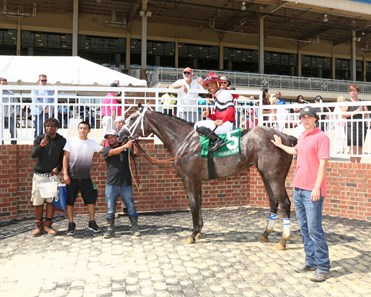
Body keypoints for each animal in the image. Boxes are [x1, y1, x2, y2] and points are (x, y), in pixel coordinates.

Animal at [123, 103, 298, 247]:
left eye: (132, 118)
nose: (120, 134)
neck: (185, 140)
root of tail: (286, 137)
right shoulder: (197, 180)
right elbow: (199, 202)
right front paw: (199, 231)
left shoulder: (189, 179)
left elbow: (193, 204)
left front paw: (193, 234)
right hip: (265, 175)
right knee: (274, 201)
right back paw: (265, 233)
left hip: (275, 177)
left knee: (285, 203)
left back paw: (283, 240)